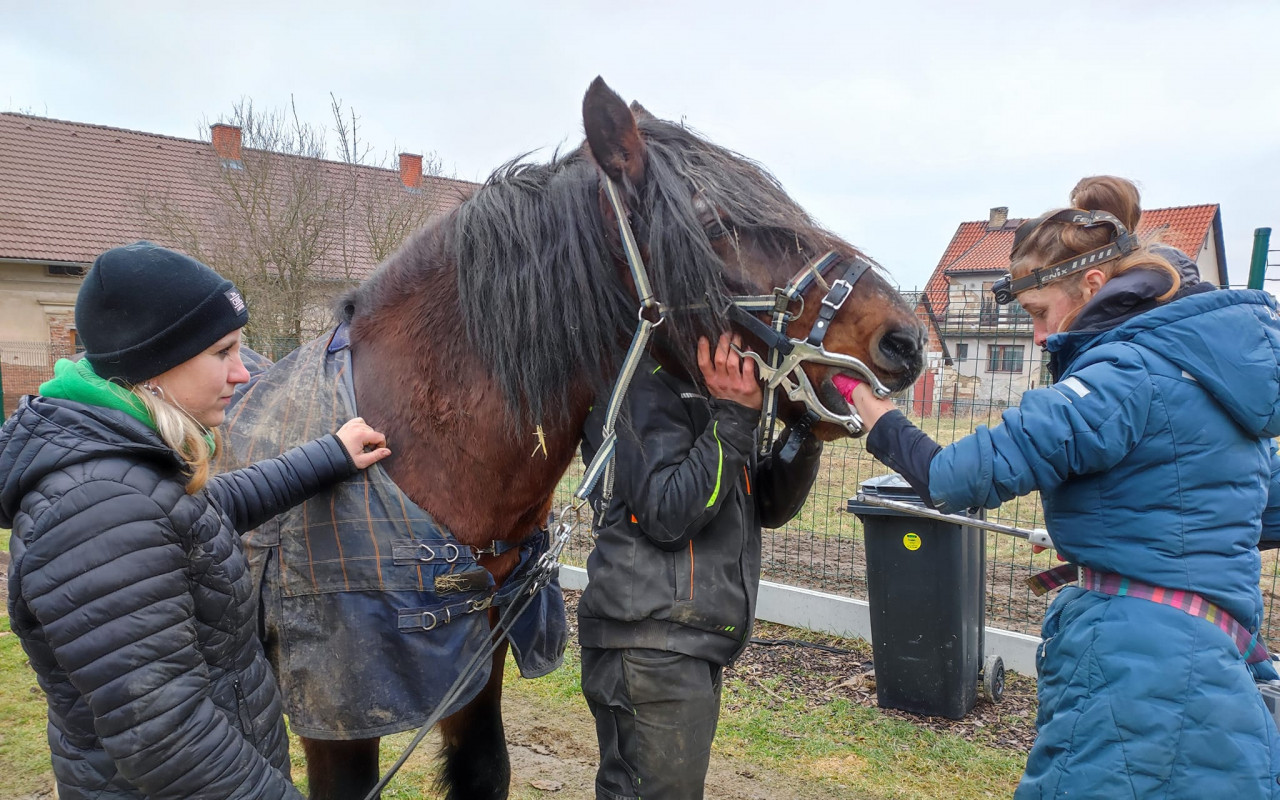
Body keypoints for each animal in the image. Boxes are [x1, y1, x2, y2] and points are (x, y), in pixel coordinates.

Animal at [230, 78, 926, 798]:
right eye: (714, 223)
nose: (905, 340)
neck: (400, 444)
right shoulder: (337, 709)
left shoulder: (479, 658)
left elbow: (487, 767)